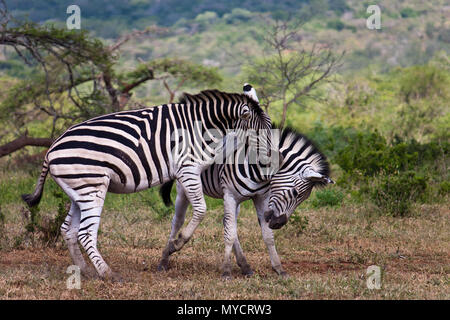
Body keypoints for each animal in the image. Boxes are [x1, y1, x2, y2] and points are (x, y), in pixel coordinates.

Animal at [22, 89, 270, 278]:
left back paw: (85, 270)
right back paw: (107, 273)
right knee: (85, 232)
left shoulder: (188, 173)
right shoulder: (187, 168)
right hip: (91, 188)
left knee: (68, 230)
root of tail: (51, 150)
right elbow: (200, 210)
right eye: (261, 134)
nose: (271, 160)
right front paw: (177, 244)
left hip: (78, 190)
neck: (203, 126)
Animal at [159, 124, 334, 278]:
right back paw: (165, 258)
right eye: (295, 192)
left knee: (228, 223)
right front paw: (226, 272)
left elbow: (267, 235)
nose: (278, 223)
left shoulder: (261, 197)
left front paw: (279, 269)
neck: (259, 169)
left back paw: (245, 266)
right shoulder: (230, 196)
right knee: (178, 220)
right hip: (185, 187)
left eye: (304, 198)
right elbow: (229, 234)